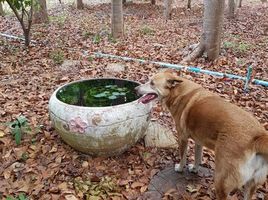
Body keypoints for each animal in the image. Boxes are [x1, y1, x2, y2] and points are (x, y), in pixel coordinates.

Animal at [136, 69, 268, 199]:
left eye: (152, 83)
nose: (136, 89)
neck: (178, 92)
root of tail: (258, 136)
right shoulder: (199, 141)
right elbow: (197, 157)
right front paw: (194, 169)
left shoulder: (182, 138)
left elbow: (183, 157)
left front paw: (180, 168)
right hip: (251, 185)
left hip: (221, 180)